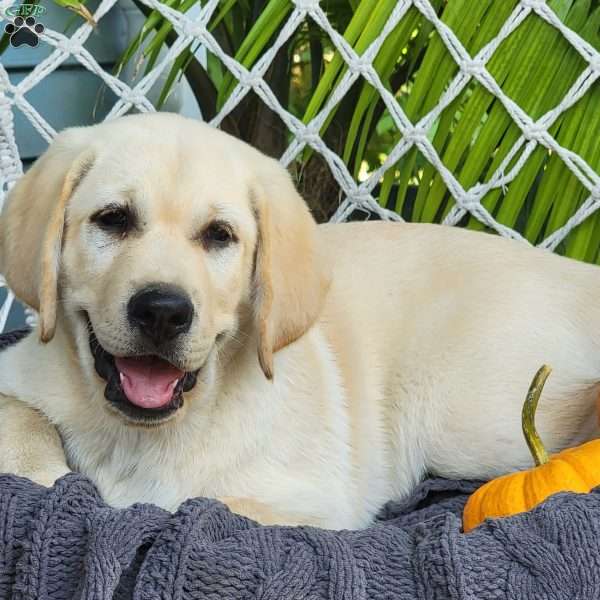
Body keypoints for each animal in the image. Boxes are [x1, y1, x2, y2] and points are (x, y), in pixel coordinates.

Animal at [1, 110, 600, 528]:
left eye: (220, 235)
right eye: (113, 219)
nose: (163, 312)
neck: (142, 437)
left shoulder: (311, 509)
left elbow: (198, 503)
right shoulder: (17, 373)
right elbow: (22, 420)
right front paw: (49, 473)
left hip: (469, 417)